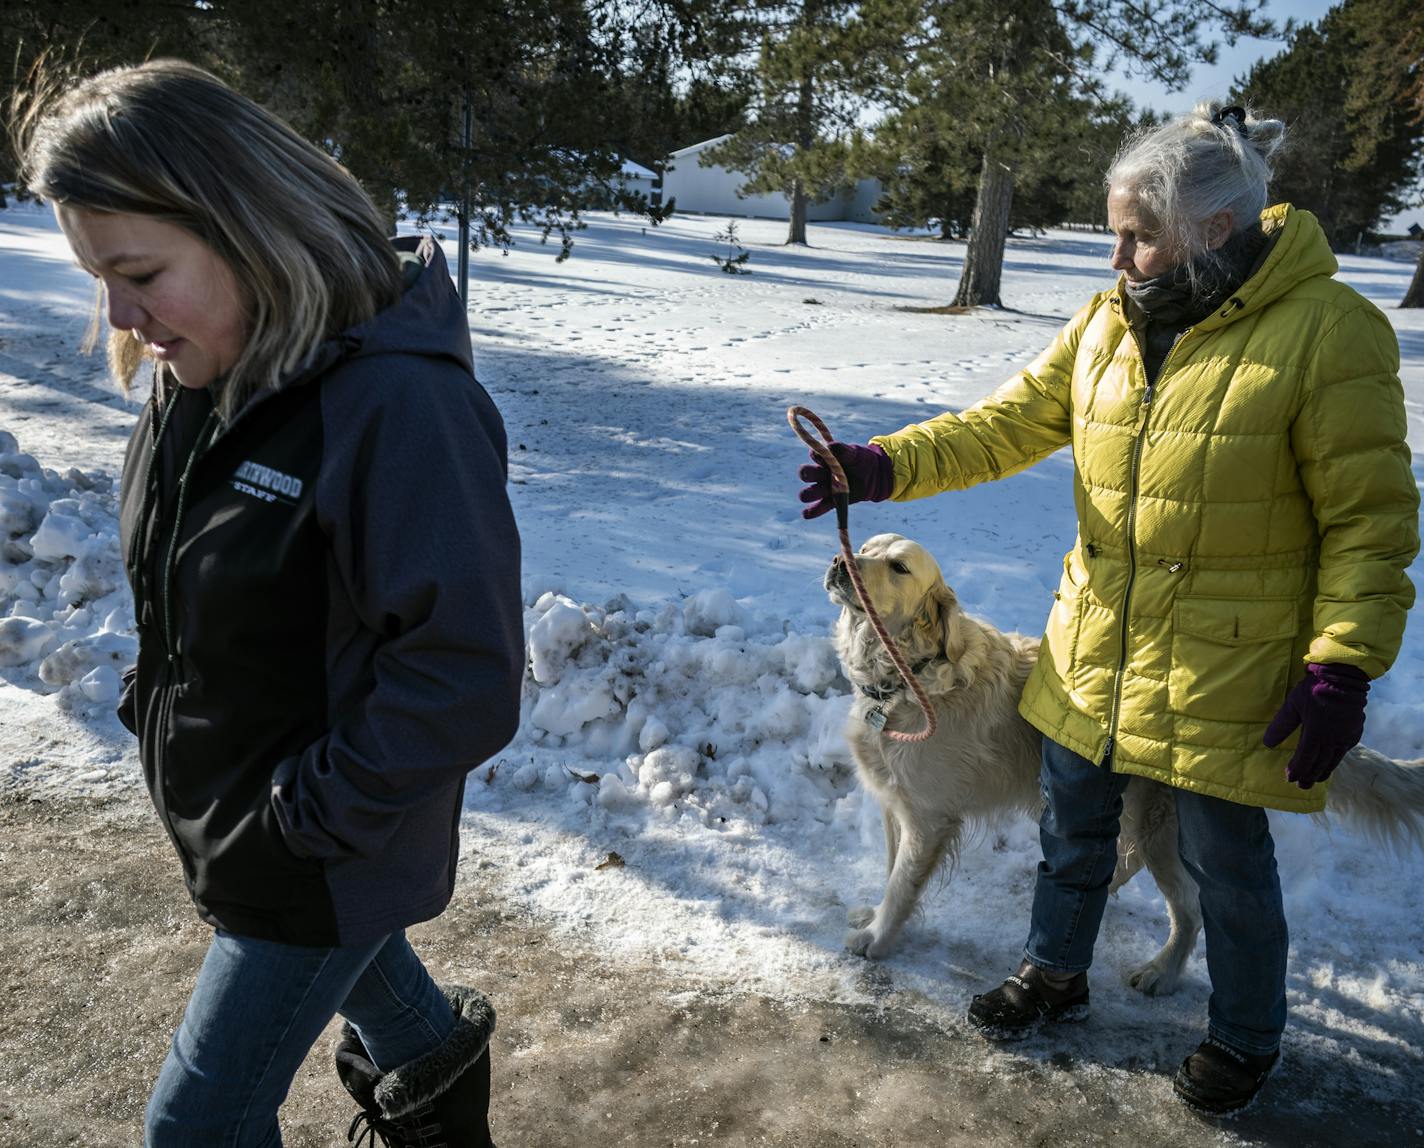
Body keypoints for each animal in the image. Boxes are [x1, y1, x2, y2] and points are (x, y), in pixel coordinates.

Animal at [825, 529, 1424, 991]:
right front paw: (875, 918)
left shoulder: (929, 816)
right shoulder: (897, 807)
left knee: (1190, 910)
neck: (906, 677)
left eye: (898, 566)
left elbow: (904, 883)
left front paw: (877, 940)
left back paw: (1161, 973)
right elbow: (891, 870)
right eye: (865, 545)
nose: (838, 562)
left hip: (1166, 830)